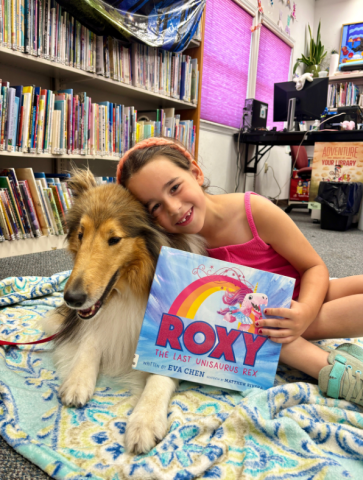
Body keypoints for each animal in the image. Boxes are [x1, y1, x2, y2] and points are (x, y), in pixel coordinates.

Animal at [41, 170, 206, 454]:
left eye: (115, 239)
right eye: (81, 234)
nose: (72, 299)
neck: (131, 290)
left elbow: (160, 378)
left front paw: (144, 421)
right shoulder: (97, 319)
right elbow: (91, 340)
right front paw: (78, 380)